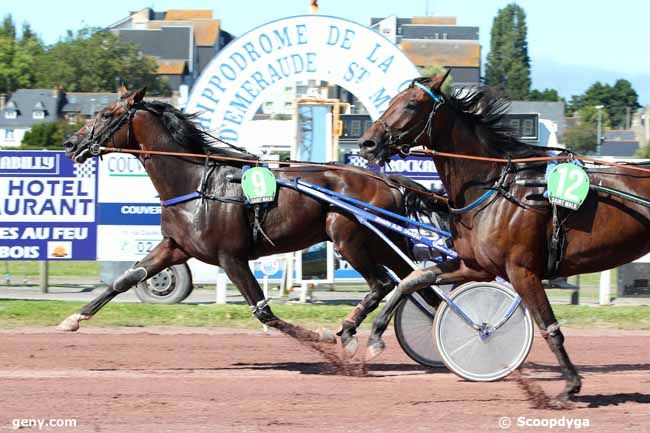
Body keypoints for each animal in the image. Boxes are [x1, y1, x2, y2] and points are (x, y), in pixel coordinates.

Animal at [59, 85, 446, 354]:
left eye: (106, 114)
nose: (70, 144)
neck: (195, 183)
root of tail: (390, 180)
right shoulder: (175, 247)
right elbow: (127, 278)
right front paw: (72, 319)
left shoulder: (231, 257)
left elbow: (264, 312)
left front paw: (320, 337)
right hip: (382, 242)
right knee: (415, 280)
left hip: (350, 239)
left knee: (383, 284)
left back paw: (352, 331)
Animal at [360, 71, 648, 398]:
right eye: (392, 100)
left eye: (410, 104)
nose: (368, 143)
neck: (495, 188)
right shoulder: (475, 266)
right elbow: (413, 279)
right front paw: (375, 335)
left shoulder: (522, 270)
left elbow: (549, 327)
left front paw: (570, 385)